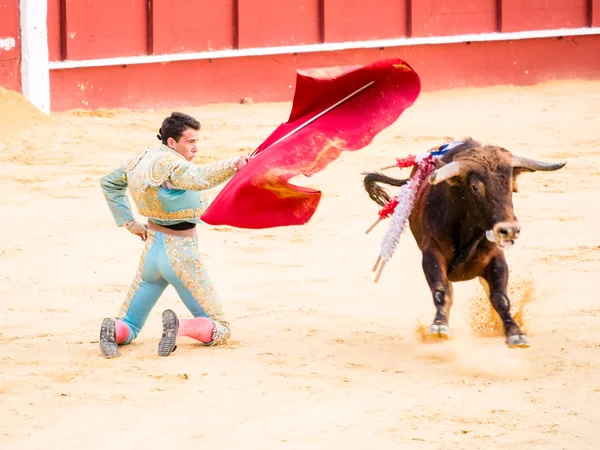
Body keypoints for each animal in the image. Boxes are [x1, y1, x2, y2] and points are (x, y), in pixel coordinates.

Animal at [364, 137, 564, 348]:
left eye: (510, 186)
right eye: (475, 187)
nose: (509, 229)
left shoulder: (496, 257)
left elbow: (500, 297)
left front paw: (515, 332)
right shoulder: (432, 251)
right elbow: (442, 290)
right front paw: (439, 326)